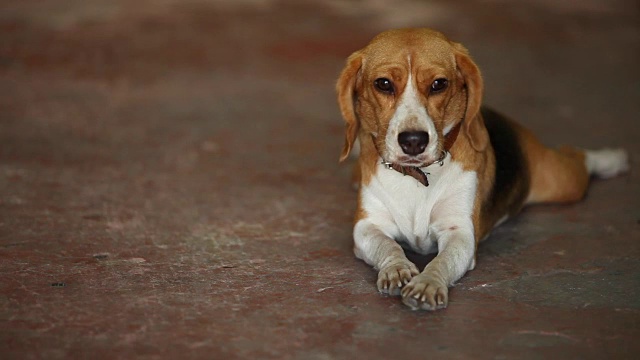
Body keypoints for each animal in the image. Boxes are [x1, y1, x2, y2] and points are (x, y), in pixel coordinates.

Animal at [338, 28, 628, 310]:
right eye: (383, 84)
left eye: (439, 84)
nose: (413, 141)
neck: (418, 177)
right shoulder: (367, 226)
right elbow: (388, 246)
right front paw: (397, 269)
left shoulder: (460, 233)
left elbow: (442, 261)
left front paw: (428, 283)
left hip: (563, 182)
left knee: (577, 155)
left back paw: (612, 159)